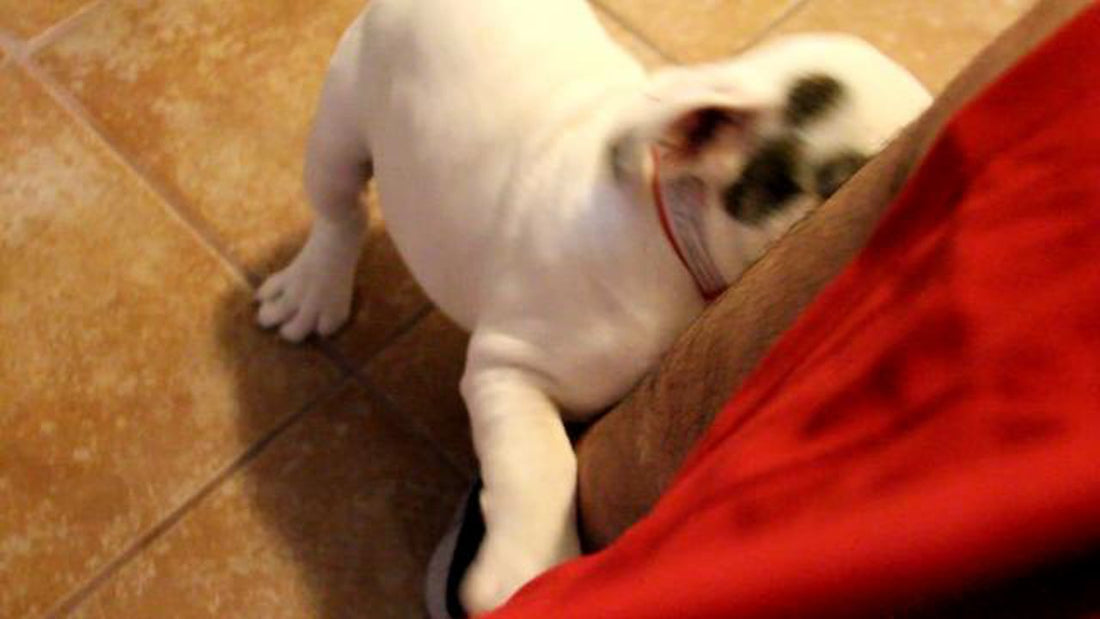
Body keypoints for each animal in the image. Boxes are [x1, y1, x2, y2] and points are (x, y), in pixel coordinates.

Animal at [255, 0, 928, 611]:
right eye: (847, 184)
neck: (672, 232)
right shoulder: (511, 366)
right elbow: (545, 465)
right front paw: (525, 570)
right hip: (341, 122)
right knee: (340, 211)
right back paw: (313, 286)